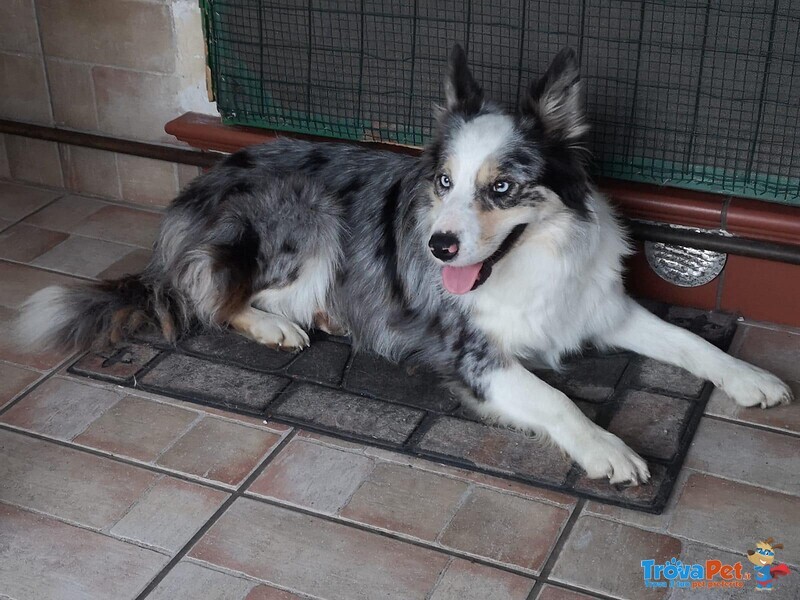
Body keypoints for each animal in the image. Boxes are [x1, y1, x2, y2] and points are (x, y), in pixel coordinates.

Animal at [17, 44, 788, 486]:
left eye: (501, 187)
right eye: (443, 181)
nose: (439, 246)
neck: (533, 263)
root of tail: (191, 198)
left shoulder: (600, 305)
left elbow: (686, 340)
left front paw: (750, 378)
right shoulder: (470, 355)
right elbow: (556, 399)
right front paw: (607, 448)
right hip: (303, 217)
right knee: (210, 294)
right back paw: (278, 327)